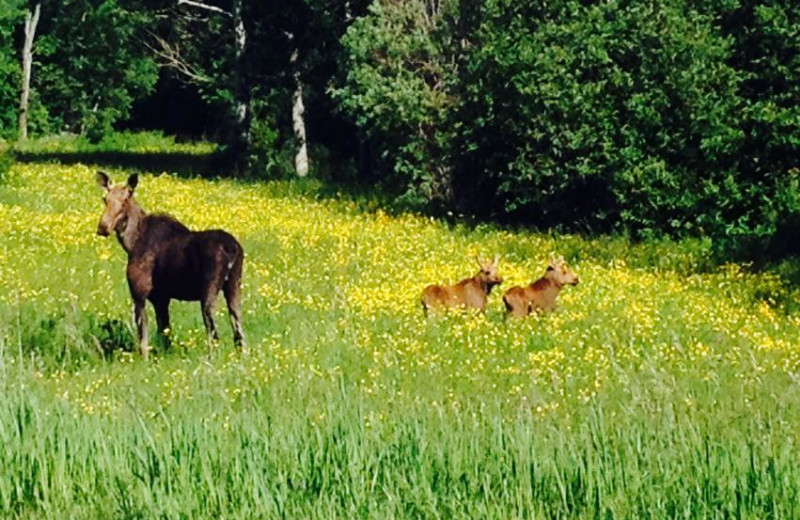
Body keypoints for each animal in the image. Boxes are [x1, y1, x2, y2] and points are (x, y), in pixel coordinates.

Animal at [95, 173, 244, 356]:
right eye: (105, 199)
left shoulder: (140, 294)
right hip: (234, 286)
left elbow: (143, 338)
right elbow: (164, 334)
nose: (103, 227)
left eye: (125, 200)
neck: (131, 242)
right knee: (239, 333)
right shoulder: (161, 297)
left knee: (214, 334)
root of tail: (233, 248)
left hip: (209, 290)